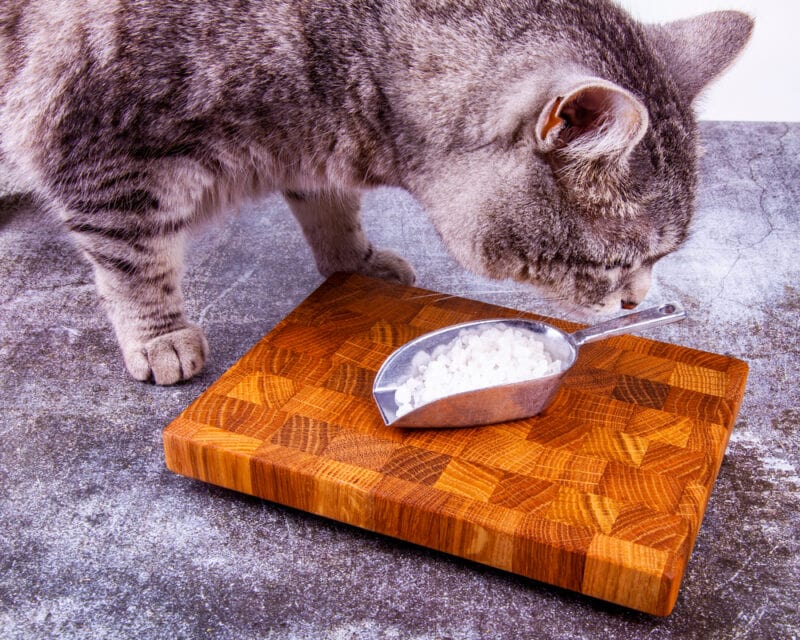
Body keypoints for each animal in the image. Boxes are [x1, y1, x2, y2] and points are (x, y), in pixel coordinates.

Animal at [0, 1, 752, 384]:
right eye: (616, 263)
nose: (638, 302)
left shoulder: (307, 147)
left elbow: (328, 206)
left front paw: (354, 263)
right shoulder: (103, 152)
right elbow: (135, 263)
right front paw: (159, 334)